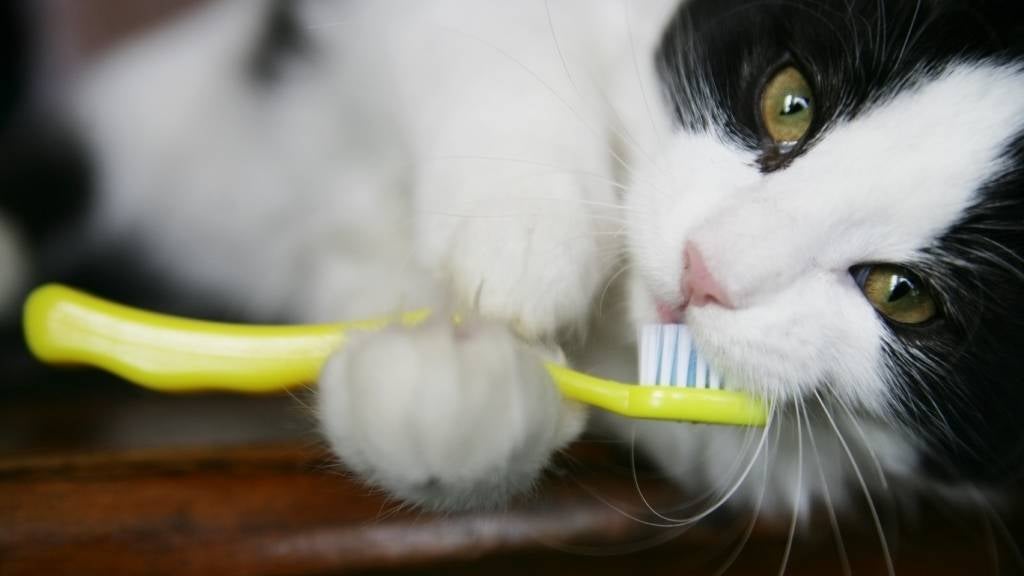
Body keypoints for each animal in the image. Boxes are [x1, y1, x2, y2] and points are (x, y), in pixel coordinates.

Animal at [6, 0, 1024, 520]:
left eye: (904, 294)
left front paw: (447, 391)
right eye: (790, 104)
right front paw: (522, 235)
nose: (705, 269)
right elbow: (493, 34)